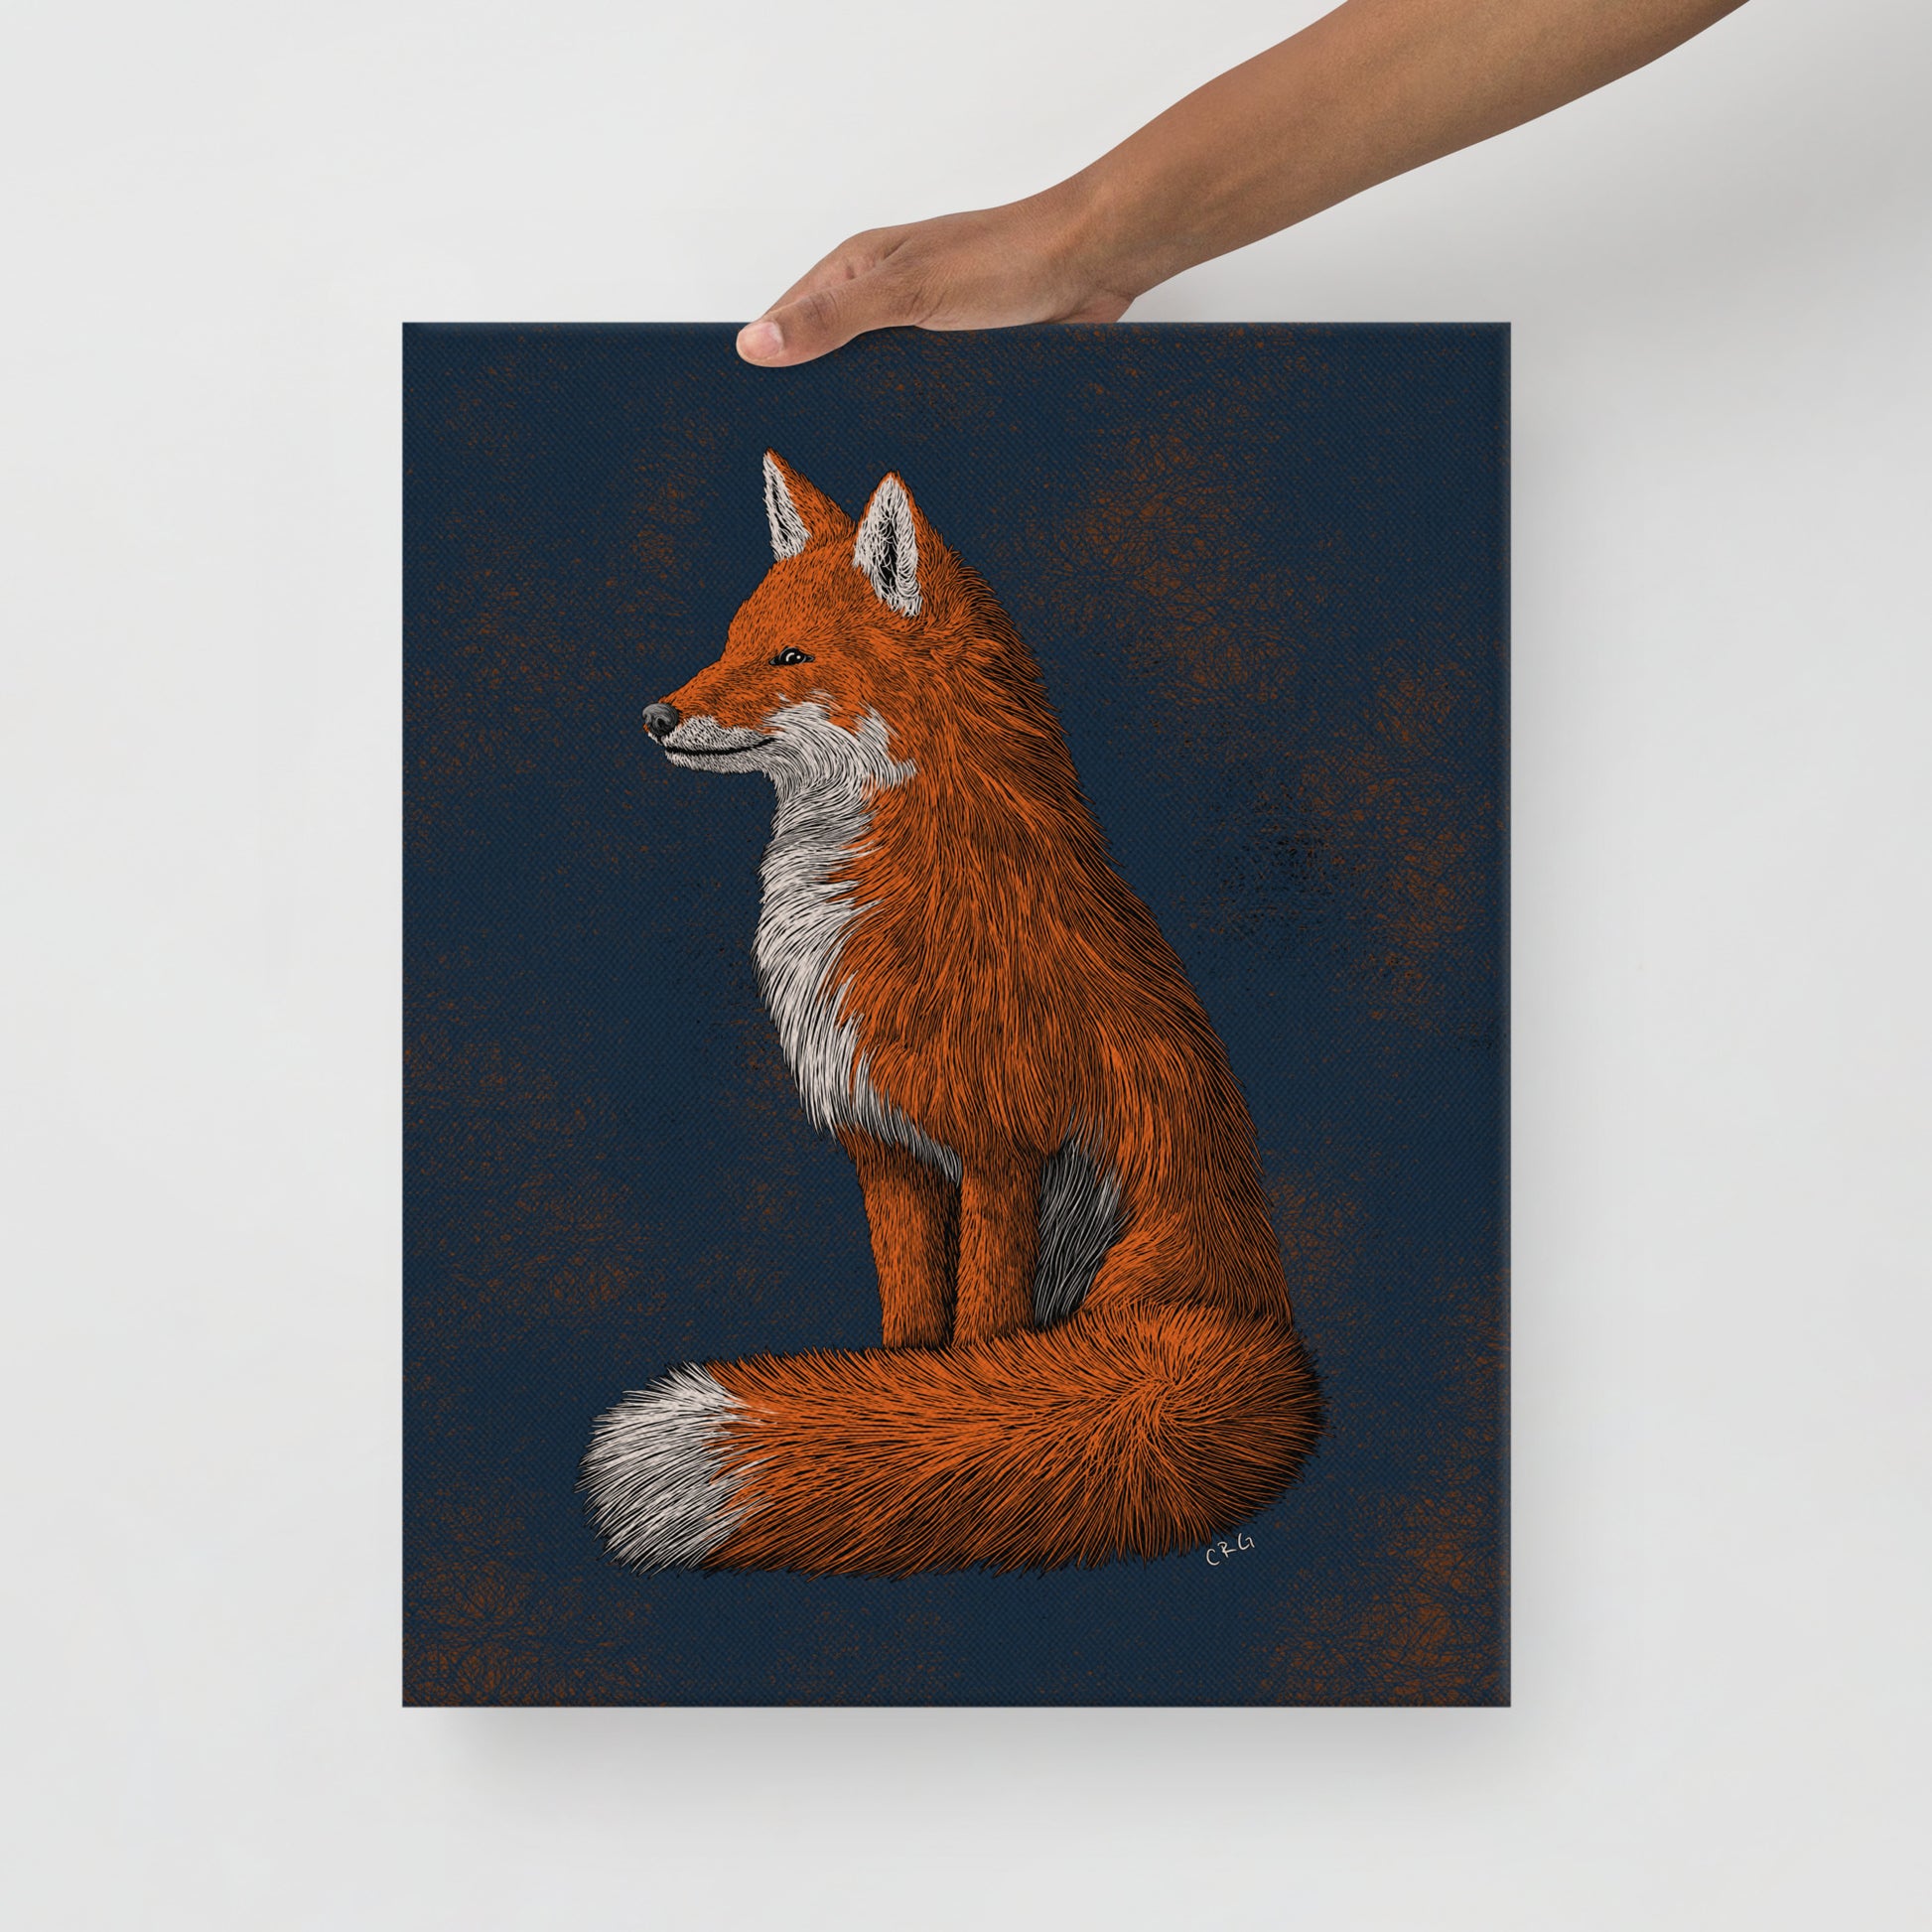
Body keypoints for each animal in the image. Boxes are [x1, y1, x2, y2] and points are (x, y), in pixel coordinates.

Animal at [581, 452, 1321, 1575]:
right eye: (732, 639)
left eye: (789, 655)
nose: (655, 717)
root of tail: (1255, 1314)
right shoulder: (886, 1149)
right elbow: (911, 1335)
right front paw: (894, 1406)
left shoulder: (1001, 1150)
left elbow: (977, 1340)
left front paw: (944, 1415)